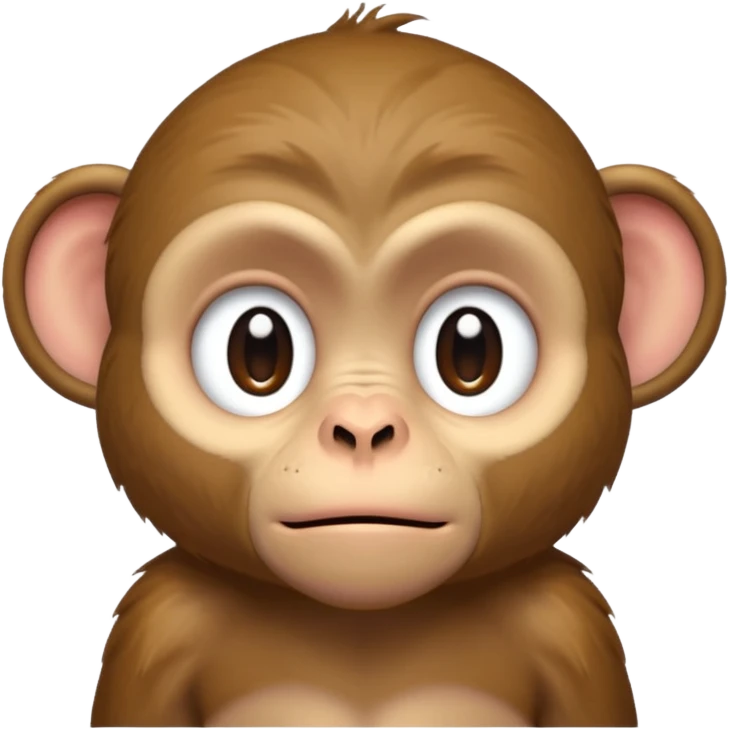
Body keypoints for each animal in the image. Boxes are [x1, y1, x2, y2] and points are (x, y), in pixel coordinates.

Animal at [1, 3, 726, 727]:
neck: (364, 622)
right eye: (257, 350)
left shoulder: (566, 626)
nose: (363, 427)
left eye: (471, 350)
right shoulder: (162, 626)